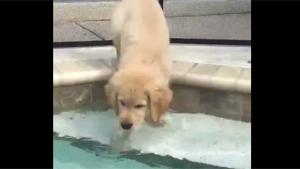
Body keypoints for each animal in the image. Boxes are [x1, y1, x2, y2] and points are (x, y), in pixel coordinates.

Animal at [105, 0, 172, 130]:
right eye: (122, 102)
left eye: (139, 106)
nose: (125, 125)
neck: (142, 62)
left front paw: (159, 118)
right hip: (116, 30)